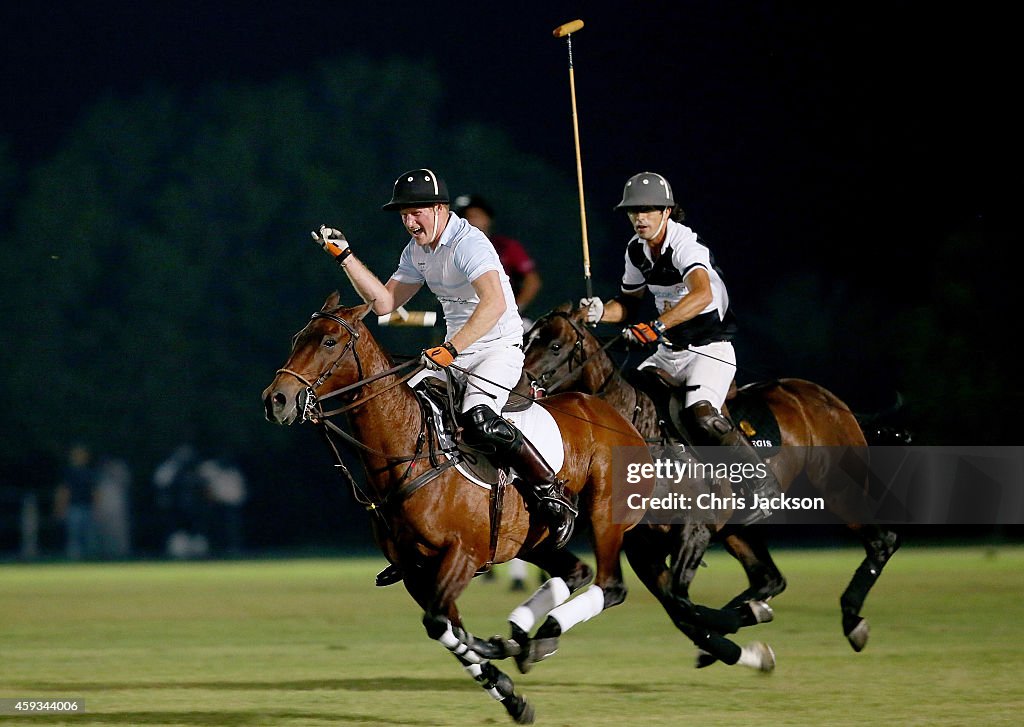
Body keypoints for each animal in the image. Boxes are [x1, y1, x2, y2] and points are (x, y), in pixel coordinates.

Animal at [264, 294, 737, 724]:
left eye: (328, 341)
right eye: (297, 338)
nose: (277, 399)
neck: (408, 451)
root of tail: (617, 415)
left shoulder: (462, 554)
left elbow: (440, 624)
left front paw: (497, 654)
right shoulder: (417, 572)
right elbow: (447, 627)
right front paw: (510, 691)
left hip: (607, 517)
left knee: (611, 585)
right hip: (537, 538)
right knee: (578, 572)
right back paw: (530, 636)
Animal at [524, 301, 901, 659]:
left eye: (555, 345)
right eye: (527, 339)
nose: (520, 385)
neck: (638, 426)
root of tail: (831, 400)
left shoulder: (696, 527)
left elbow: (680, 600)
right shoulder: (642, 548)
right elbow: (677, 605)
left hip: (835, 486)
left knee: (882, 540)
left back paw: (851, 619)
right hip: (739, 527)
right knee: (770, 579)